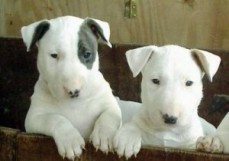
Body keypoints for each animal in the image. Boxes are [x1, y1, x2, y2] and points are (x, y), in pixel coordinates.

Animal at [21, 16, 121, 160]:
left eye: (87, 54)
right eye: (54, 55)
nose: (74, 91)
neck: (74, 103)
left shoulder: (110, 104)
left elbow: (110, 116)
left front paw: (105, 136)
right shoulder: (33, 118)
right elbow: (55, 118)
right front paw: (70, 141)